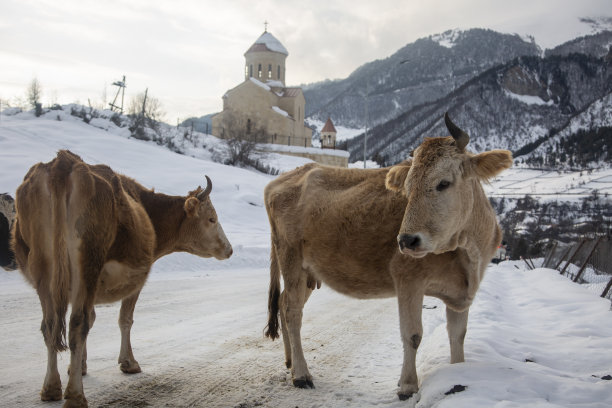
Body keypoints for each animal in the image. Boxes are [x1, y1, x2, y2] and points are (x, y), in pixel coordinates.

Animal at [11, 151, 232, 408]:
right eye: (212, 219)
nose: (229, 249)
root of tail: (64, 162)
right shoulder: (136, 280)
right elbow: (124, 319)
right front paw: (129, 362)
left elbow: (91, 319)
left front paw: (80, 366)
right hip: (87, 263)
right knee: (76, 324)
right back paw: (75, 395)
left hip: (44, 270)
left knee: (51, 326)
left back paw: (51, 388)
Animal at [262, 113, 512, 400]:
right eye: (408, 188)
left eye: (443, 183)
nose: (406, 240)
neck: (469, 253)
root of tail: (285, 178)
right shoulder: (408, 279)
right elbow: (412, 335)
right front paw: (407, 386)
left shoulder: (460, 292)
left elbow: (458, 335)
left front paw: (458, 373)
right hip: (290, 258)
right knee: (292, 311)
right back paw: (301, 375)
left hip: (307, 271)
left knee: (284, 303)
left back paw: (290, 362)